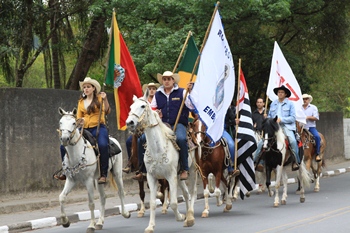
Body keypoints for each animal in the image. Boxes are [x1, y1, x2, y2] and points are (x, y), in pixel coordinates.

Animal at [125, 90, 197, 233]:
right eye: (130, 107)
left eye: (142, 106)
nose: (129, 122)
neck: (157, 149)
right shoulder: (151, 177)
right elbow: (153, 203)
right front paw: (150, 226)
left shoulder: (170, 177)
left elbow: (174, 202)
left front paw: (180, 217)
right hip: (179, 177)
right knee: (186, 193)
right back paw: (188, 219)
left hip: (191, 171)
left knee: (192, 192)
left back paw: (190, 217)